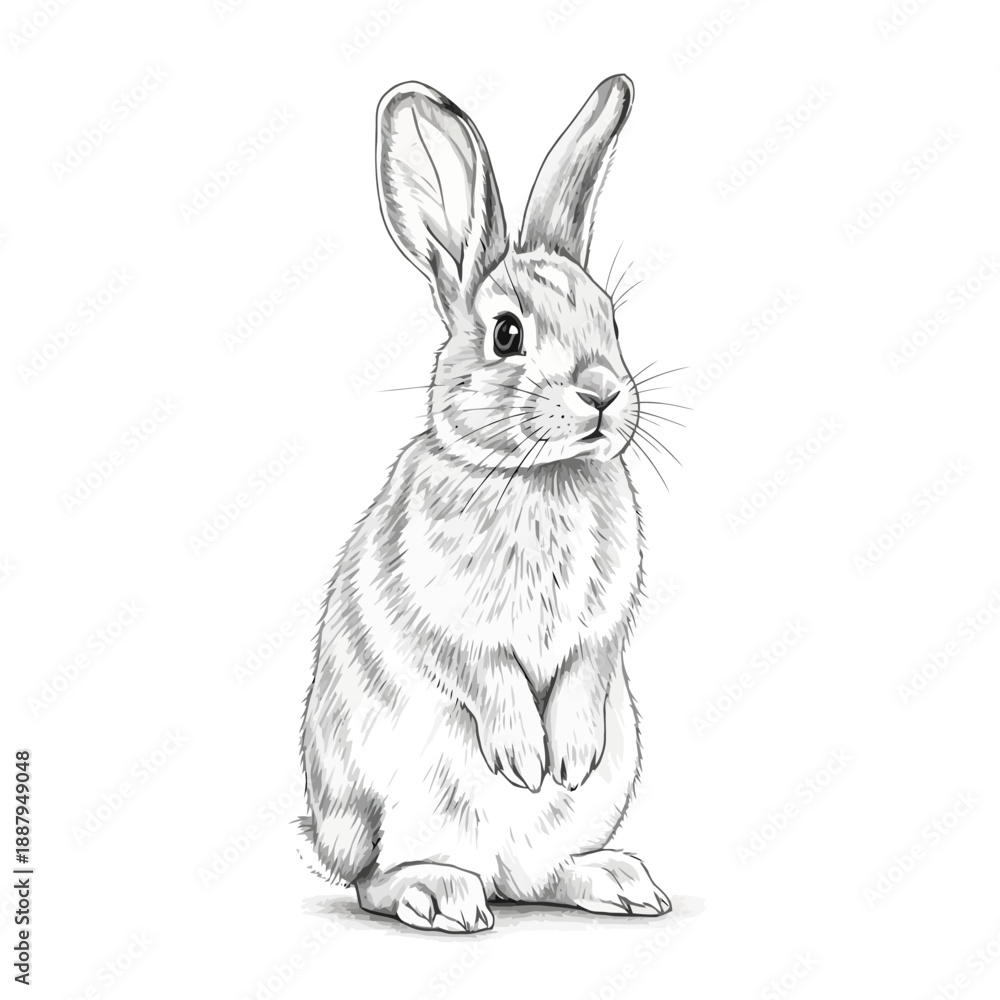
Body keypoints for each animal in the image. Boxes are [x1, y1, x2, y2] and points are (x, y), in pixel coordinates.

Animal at [300, 74, 672, 933]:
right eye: (507, 334)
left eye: (611, 320)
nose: (602, 393)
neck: (538, 472)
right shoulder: (436, 612)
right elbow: (483, 669)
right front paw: (524, 757)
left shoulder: (607, 622)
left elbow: (587, 666)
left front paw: (568, 755)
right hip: (399, 802)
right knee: (374, 882)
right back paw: (440, 895)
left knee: (543, 877)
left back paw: (619, 881)